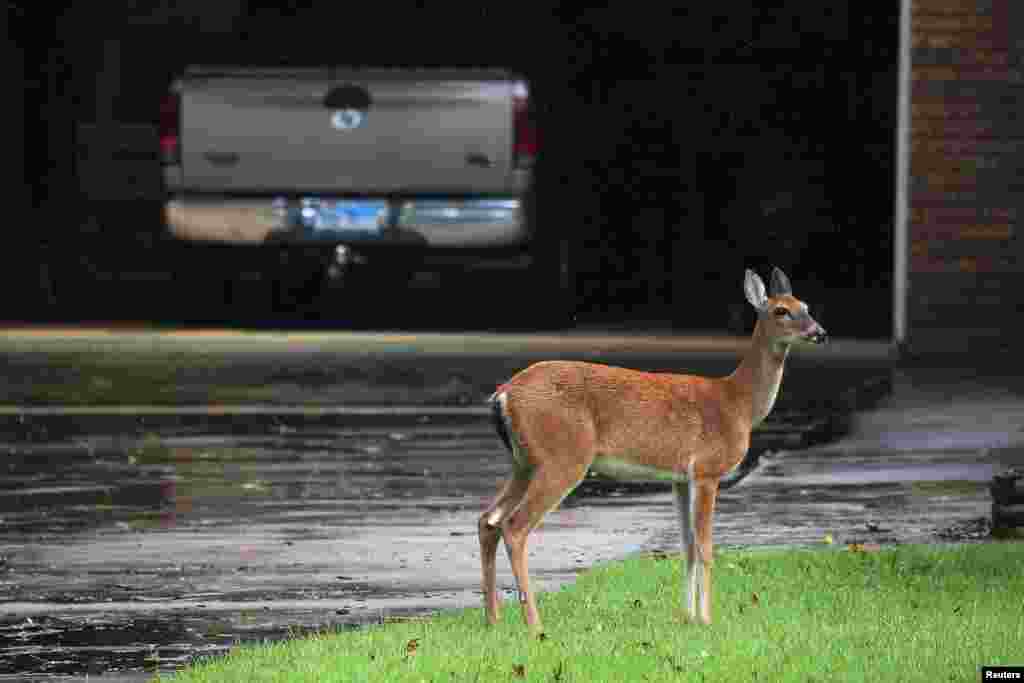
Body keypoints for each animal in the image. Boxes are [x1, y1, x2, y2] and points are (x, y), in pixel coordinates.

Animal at [477, 266, 823, 634]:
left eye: (805, 305)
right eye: (781, 311)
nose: (820, 332)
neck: (738, 404)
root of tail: (503, 394)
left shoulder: (680, 478)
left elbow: (687, 546)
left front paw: (688, 617)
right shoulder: (708, 469)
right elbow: (705, 547)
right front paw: (707, 619)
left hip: (524, 461)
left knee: (489, 520)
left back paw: (492, 619)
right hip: (563, 457)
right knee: (515, 526)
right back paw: (534, 625)